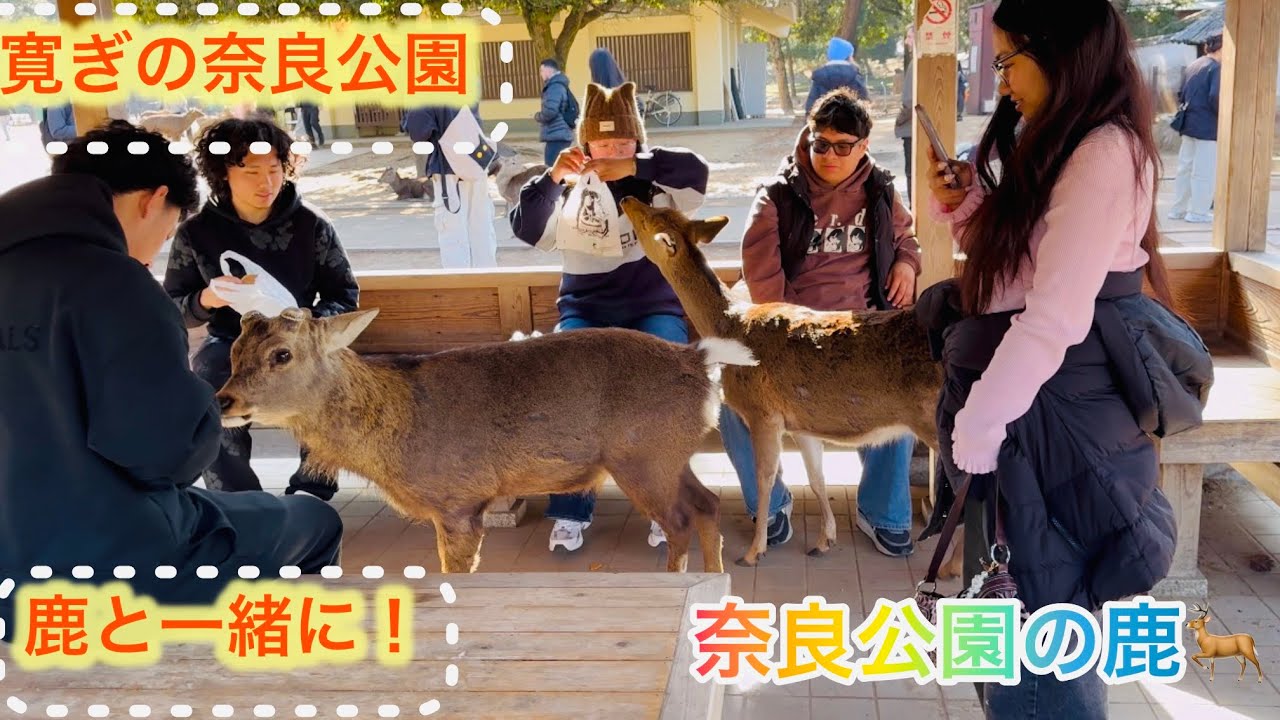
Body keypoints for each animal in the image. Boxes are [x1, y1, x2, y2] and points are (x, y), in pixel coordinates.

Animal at [215, 307, 760, 575]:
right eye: (236, 350)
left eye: (281, 354)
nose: (223, 399)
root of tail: (699, 360)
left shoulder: (458, 499)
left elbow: (456, 569)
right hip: (672, 456)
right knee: (707, 505)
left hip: (642, 456)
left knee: (680, 520)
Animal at [618, 197, 943, 568]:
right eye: (661, 209)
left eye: (650, 220)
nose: (627, 199)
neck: (731, 327)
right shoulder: (802, 421)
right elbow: (816, 477)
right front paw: (824, 541)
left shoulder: (763, 413)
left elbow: (765, 477)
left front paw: (752, 551)